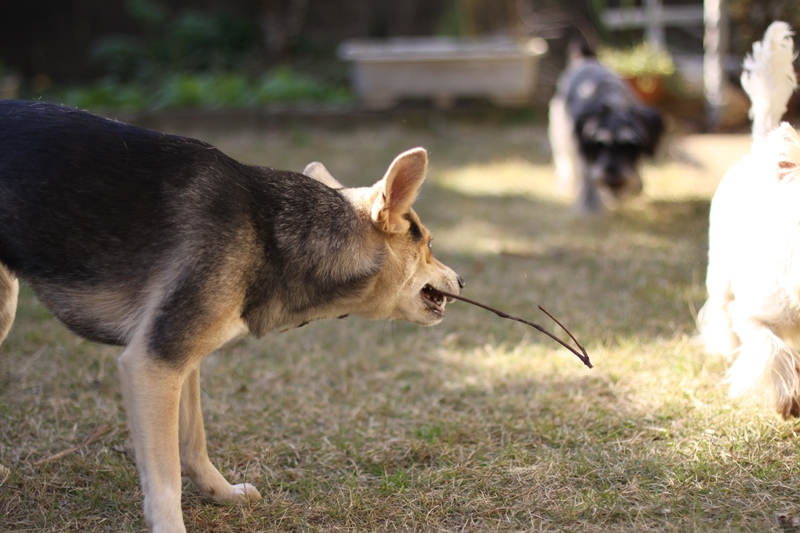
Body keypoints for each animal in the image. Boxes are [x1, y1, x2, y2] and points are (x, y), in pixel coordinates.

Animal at [0, 101, 462, 532]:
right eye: (430, 244)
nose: (462, 279)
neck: (268, 233)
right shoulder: (152, 364)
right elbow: (164, 478)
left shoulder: (181, 361)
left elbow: (193, 442)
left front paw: (221, 493)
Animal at [696, 22, 800, 418]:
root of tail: (758, 151)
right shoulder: (754, 311)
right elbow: (770, 346)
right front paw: (788, 398)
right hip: (719, 272)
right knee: (721, 311)